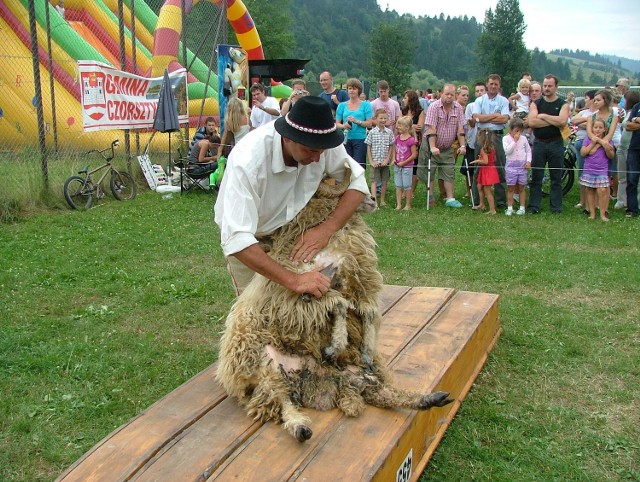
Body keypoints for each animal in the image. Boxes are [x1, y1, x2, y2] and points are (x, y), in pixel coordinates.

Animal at [215, 168, 450, 442]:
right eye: (340, 185)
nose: (373, 199)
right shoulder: (303, 291)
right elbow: (338, 305)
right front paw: (335, 344)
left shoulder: (359, 284)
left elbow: (368, 313)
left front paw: (365, 348)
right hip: (262, 365)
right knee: (281, 400)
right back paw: (300, 427)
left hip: (352, 374)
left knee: (382, 392)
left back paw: (430, 398)